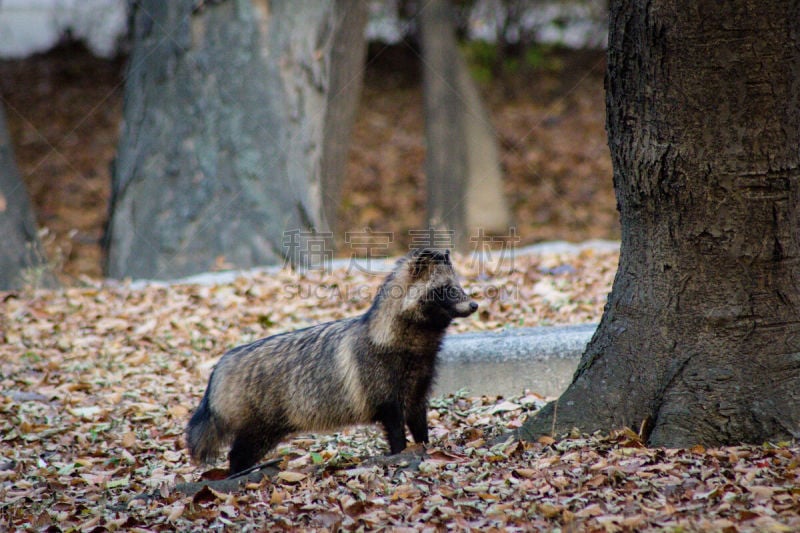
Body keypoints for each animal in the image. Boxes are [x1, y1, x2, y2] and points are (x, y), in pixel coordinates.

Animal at [186, 247, 476, 472]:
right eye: (447, 289)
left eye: (459, 286)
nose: (474, 305)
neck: (417, 344)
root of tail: (221, 366)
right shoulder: (383, 391)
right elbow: (395, 431)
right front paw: (400, 455)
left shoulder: (418, 385)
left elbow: (419, 422)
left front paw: (425, 448)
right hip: (260, 425)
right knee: (239, 454)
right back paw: (238, 474)